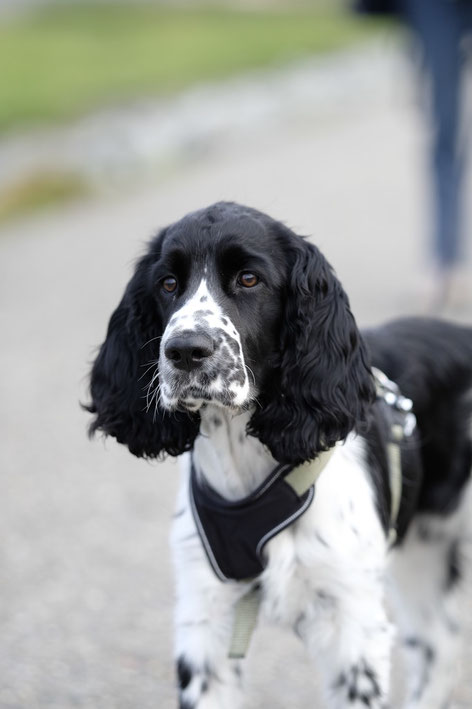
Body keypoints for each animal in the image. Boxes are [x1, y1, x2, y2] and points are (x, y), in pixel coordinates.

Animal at [87, 202, 472, 704]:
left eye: (249, 278)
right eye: (168, 283)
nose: (184, 351)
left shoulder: (352, 622)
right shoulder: (203, 616)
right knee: (438, 647)